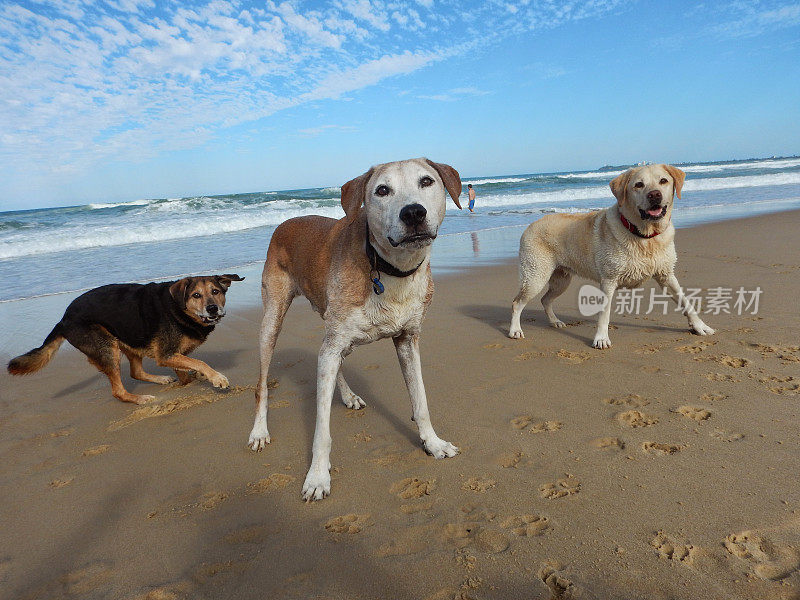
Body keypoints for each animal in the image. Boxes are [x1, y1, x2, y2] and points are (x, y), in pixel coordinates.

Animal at [7, 274, 244, 406]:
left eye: (216, 291)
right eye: (196, 295)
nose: (213, 308)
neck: (179, 308)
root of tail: (64, 319)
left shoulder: (173, 354)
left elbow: (186, 369)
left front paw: (193, 379)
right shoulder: (166, 354)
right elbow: (199, 362)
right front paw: (216, 378)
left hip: (129, 337)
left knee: (135, 372)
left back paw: (160, 380)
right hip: (107, 346)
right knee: (118, 391)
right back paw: (139, 399)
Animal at [250, 157, 462, 500]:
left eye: (427, 181)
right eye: (382, 190)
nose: (413, 213)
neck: (388, 269)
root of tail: (284, 224)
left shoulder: (407, 339)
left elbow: (421, 400)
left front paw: (433, 443)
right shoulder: (333, 343)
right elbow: (321, 430)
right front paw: (317, 477)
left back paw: (348, 395)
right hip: (273, 319)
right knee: (263, 383)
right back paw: (259, 430)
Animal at [510, 164, 716, 346]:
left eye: (663, 181)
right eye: (638, 185)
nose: (654, 195)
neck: (644, 236)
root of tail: (529, 226)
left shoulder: (666, 275)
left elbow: (686, 302)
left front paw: (700, 326)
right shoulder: (608, 281)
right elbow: (604, 314)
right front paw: (601, 338)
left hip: (561, 279)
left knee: (545, 300)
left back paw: (555, 321)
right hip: (536, 276)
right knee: (517, 302)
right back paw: (515, 330)